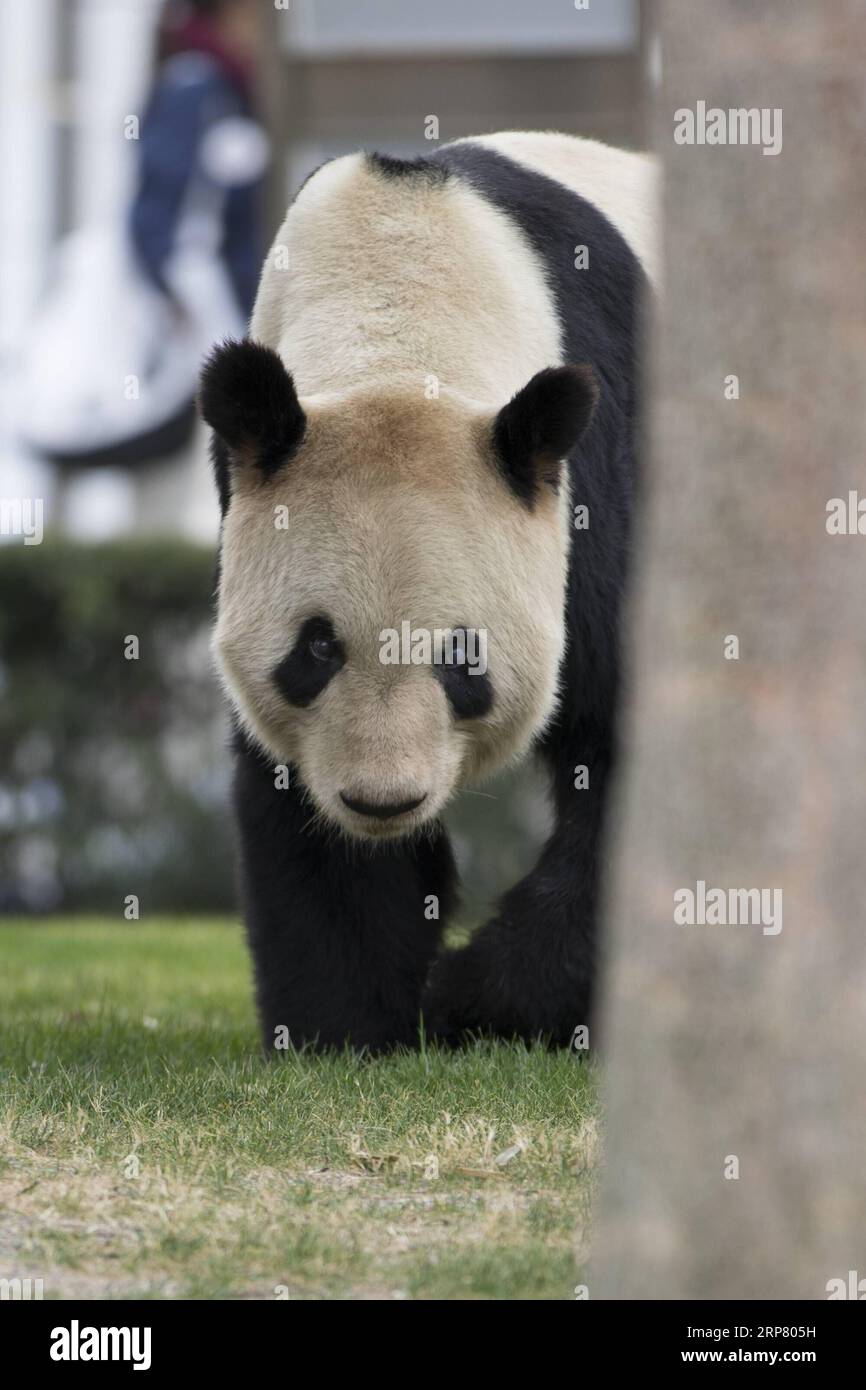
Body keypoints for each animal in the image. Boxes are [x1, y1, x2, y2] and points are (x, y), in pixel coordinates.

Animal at [199, 131, 658, 1053]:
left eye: (462, 657)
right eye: (316, 648)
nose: (385, 799)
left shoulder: (599, 482)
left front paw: (469, 1003)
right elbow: (299, 809)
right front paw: (346, 1024)